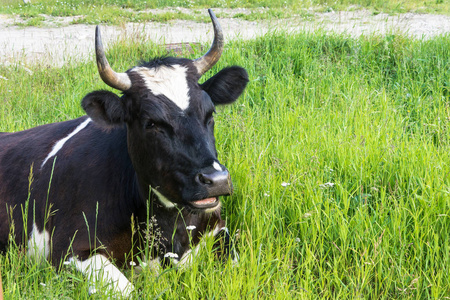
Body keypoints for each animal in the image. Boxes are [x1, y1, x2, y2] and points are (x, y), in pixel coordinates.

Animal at [0, 9, 246, 298]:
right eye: (150, 123)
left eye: (210, 113)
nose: (215, 180)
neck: (167, 231)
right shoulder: (67, 250)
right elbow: (126, 290)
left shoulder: (218, 229)